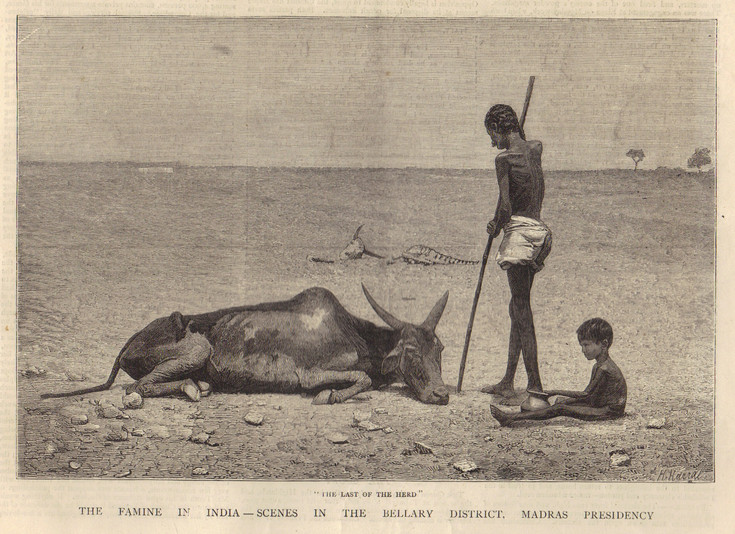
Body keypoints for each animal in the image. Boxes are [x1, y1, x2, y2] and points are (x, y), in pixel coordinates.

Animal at [41, 285, 451, 406]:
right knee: (138, 386)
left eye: (440, 349)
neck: (357, 333)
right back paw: (194, 387)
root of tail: (127, 344)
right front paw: (329, 396)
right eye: (411, 351)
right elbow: (358, 381)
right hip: (198, 350)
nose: (441, 394)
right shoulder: (309, 373)